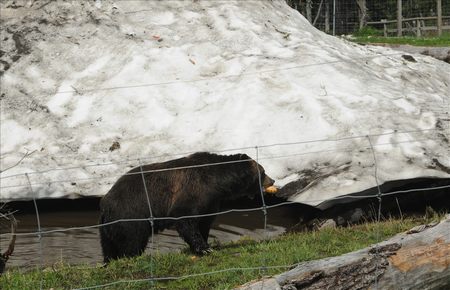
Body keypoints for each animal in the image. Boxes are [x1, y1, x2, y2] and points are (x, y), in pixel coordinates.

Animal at [98, 152, 274, 262]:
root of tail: (105, 203)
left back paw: (109, 260)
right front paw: (204, 248)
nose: (272, 180)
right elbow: (186, 220)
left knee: (109, 247)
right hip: (131, 215)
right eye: (263, 171)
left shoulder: (210, 202)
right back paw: (132, 256)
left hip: (107, 228)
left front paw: (206, 244)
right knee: (132, 242)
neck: (218, 183)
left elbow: (204, 222)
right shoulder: (193, 190)